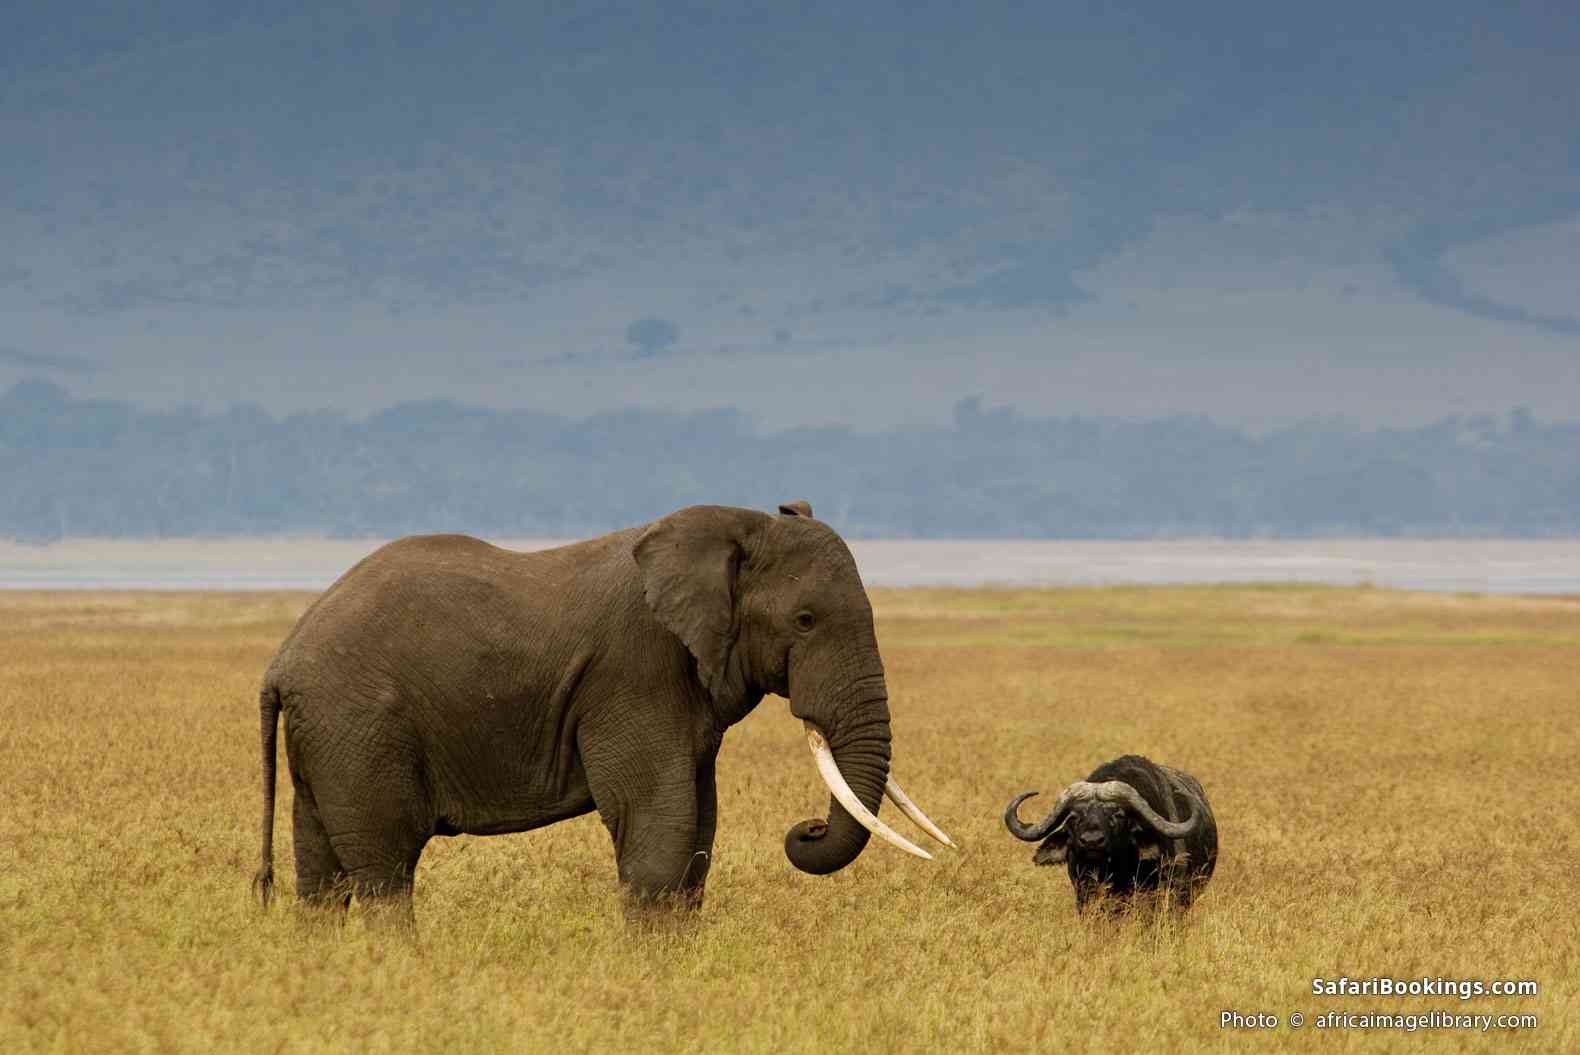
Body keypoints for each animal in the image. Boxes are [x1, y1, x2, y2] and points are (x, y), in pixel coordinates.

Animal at [252, 500, 952, 925]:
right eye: (805, 621)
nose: (805, 829)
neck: (734, 525)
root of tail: (281, 661)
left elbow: (699, 834)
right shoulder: (634, 670)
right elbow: (658, 826)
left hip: (328, 734)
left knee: (322, 873)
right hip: (360, 725)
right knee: (385, 868)